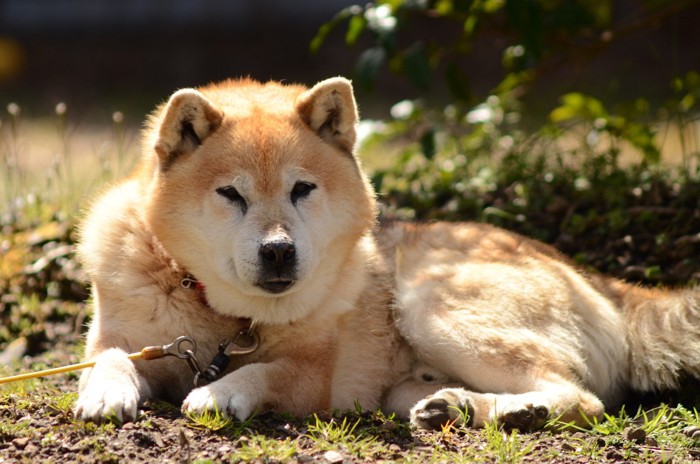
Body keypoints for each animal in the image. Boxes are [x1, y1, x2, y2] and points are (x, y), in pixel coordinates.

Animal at [75, 77, 700, 432]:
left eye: (302, 190)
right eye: (231, 194)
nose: (278, 252)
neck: (221, 313)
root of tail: (598, 279)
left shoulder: (318, 374)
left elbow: (268, 371)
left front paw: (222, 391)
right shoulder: (129, 338)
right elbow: (109, 357)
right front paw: (105, 391)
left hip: (432, 306)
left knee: (583, 398)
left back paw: (517, 412)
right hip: (408, 376)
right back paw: (461, 408)